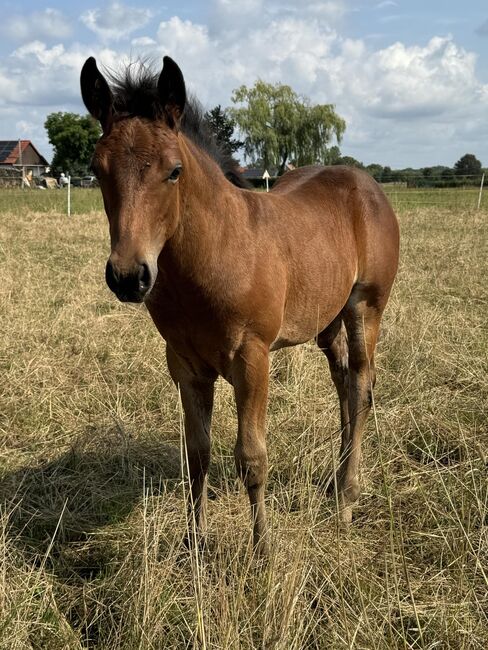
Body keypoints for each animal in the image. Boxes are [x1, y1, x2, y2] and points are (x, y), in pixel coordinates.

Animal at [81, 55, 400, 556]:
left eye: (174, 170)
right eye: (97, 170)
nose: (129, 277)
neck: (218, 252)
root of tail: (365, 182)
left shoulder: (253, 358)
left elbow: (251, 457)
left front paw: (263, 550)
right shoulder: (185, 365)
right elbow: (197, 453)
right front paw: (194, 544)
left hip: (366, 306)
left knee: (362, 383)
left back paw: (347, 498)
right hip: (325, 320)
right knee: (344, 380)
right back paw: (335, 482)